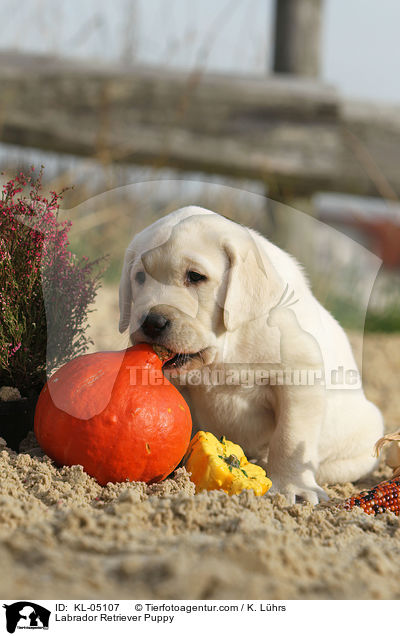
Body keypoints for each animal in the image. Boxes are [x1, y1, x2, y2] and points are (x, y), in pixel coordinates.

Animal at [119, 205, 384, 502]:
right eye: (140, 277)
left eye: (195, 277)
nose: (152, 323)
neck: (223, 349)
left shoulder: (299, 377)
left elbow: (290, 438)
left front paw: (293, 487)